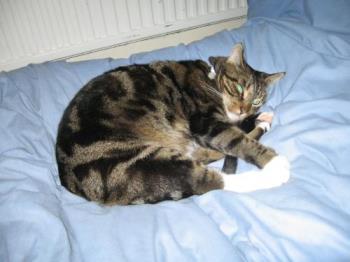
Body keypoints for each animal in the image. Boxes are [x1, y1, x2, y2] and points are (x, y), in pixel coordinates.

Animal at [55, 43, 290, 206]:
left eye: (256, 100)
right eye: (240, 88)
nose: (244, 109)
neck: (211, 80)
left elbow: (235, 134)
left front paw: (256, 118)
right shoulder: (205, 122)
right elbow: (237, 140)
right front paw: (270, 159)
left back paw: (263, 123)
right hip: (140, 159)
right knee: (209, 181)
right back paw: (275, 170)